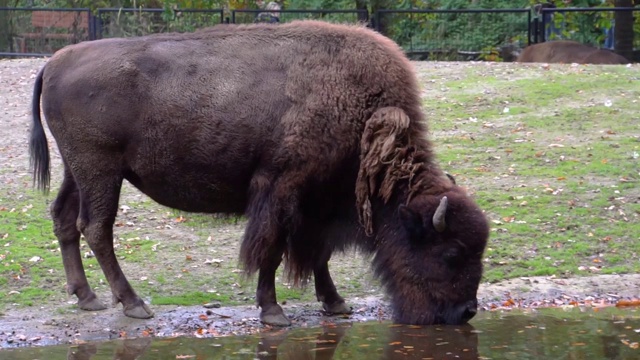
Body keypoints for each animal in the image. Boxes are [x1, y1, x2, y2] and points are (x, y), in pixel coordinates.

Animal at [30, 21, 488, 328]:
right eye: (451, 253)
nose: (466, 312)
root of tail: (55, 61)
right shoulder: (283, 188)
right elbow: (271, 247)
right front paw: (273, 311)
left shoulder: (319, 204)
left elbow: (317, 254)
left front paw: (335, 303)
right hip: (101, 172)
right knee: (96, 227)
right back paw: (133, 303)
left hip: (77, 171)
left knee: (64, 219)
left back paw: (87, 297)